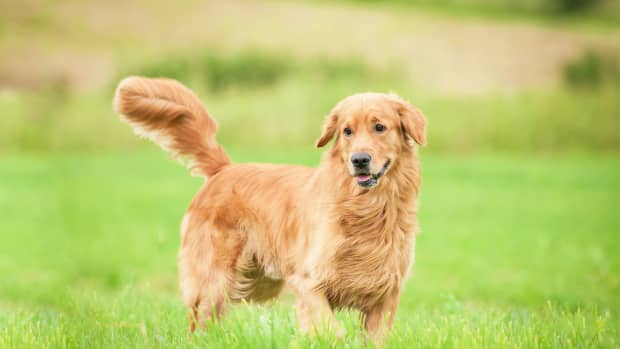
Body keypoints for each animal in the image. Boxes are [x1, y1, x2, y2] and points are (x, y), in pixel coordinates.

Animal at [112, 76, 426, 340]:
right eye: (347, 131)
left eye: (379, 127)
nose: (359, 160)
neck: (365, 208)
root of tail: (223, 170)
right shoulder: (308, 282)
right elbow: (332, 330)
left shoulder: (386, 294)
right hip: (214, 281)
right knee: (198, 324)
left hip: (257, 281)